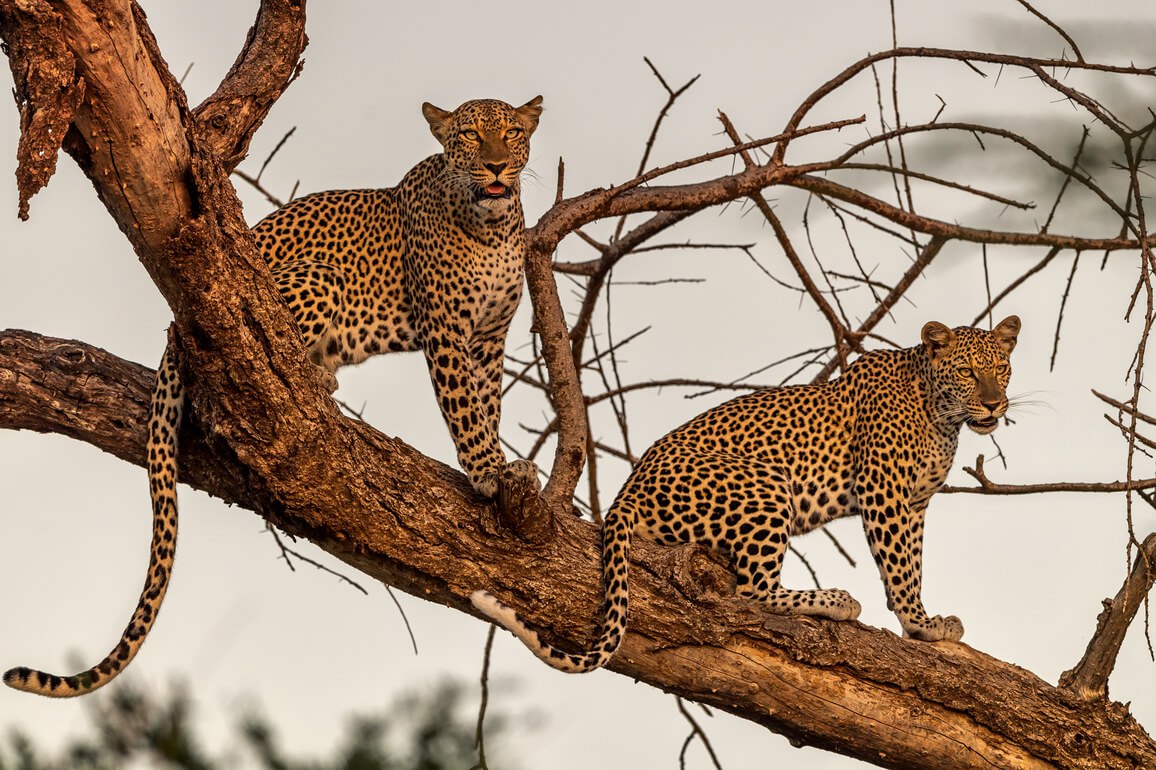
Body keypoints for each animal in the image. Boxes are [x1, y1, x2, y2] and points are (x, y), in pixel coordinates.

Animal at [4, 95, 545, 693]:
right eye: (470, 135)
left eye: (512, 133)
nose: (496, 166)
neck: (491, 228)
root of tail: (173, 327)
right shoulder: (447, 333)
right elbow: (465, 410)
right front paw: (488, 471)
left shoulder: (489, 339)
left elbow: (487, 405)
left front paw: (505, 465)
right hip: (317, 276)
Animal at [469, 314, 1021, 670]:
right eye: (968, 371)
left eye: (1002, 368)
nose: (996, 405)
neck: (942, 417)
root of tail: (627, 493)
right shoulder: (884, 491)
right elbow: (901, 566)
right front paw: (921, 624)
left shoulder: (916, 503)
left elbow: (913, 560)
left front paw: (917, 622)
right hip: (766, 483)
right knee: (750, 590)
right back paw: (836, 599)